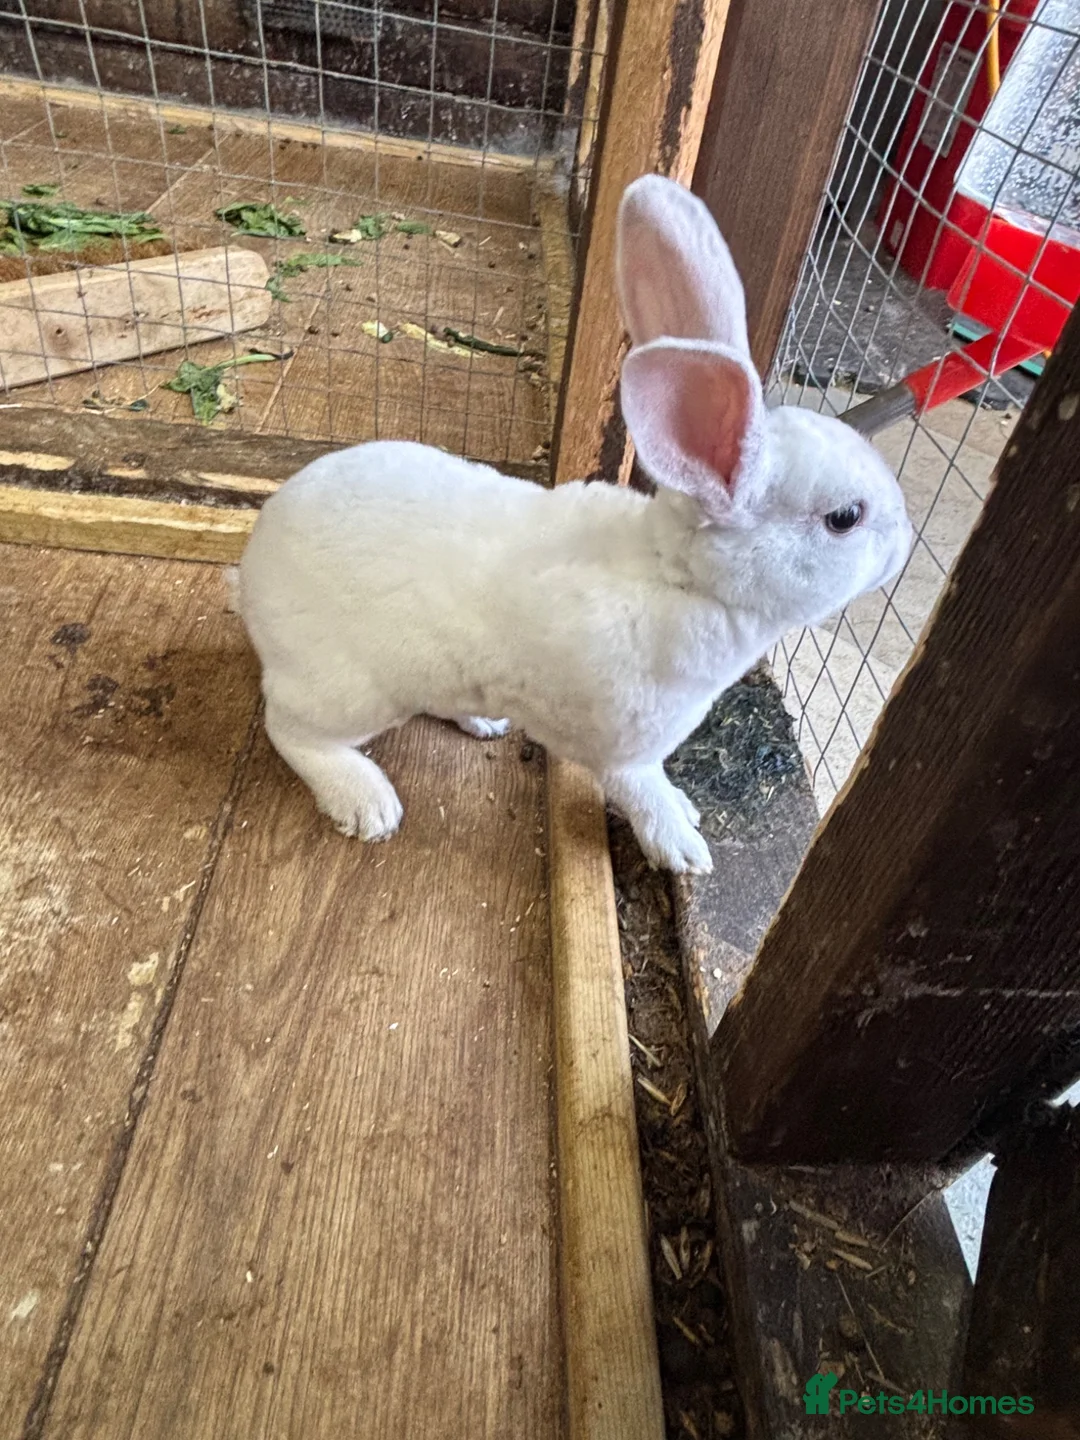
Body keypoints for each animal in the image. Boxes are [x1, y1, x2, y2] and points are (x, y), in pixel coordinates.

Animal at [235, 174, 913, 875]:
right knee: (289, 729)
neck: (679, 579)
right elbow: (641, 790)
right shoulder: (624, 749)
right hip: (349, 691)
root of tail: (254, 565)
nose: (905, 543)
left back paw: (484, 724)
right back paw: (367, 803)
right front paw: (683, 846)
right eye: (844, 519)